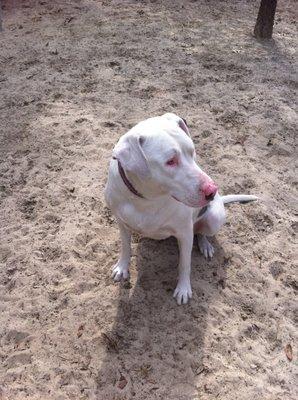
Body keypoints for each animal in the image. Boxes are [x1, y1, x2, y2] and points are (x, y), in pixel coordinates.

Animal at [104, 114, 256, 304]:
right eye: (170, 161)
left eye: (192, 151)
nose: (212, 190)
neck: (146, 198)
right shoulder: (121, 222)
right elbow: (125, 247)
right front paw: (122, 267)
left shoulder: (185, 234)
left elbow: (185, 263)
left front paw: (183, 289)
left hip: (213, 219)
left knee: (201, 232)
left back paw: (205, 245)